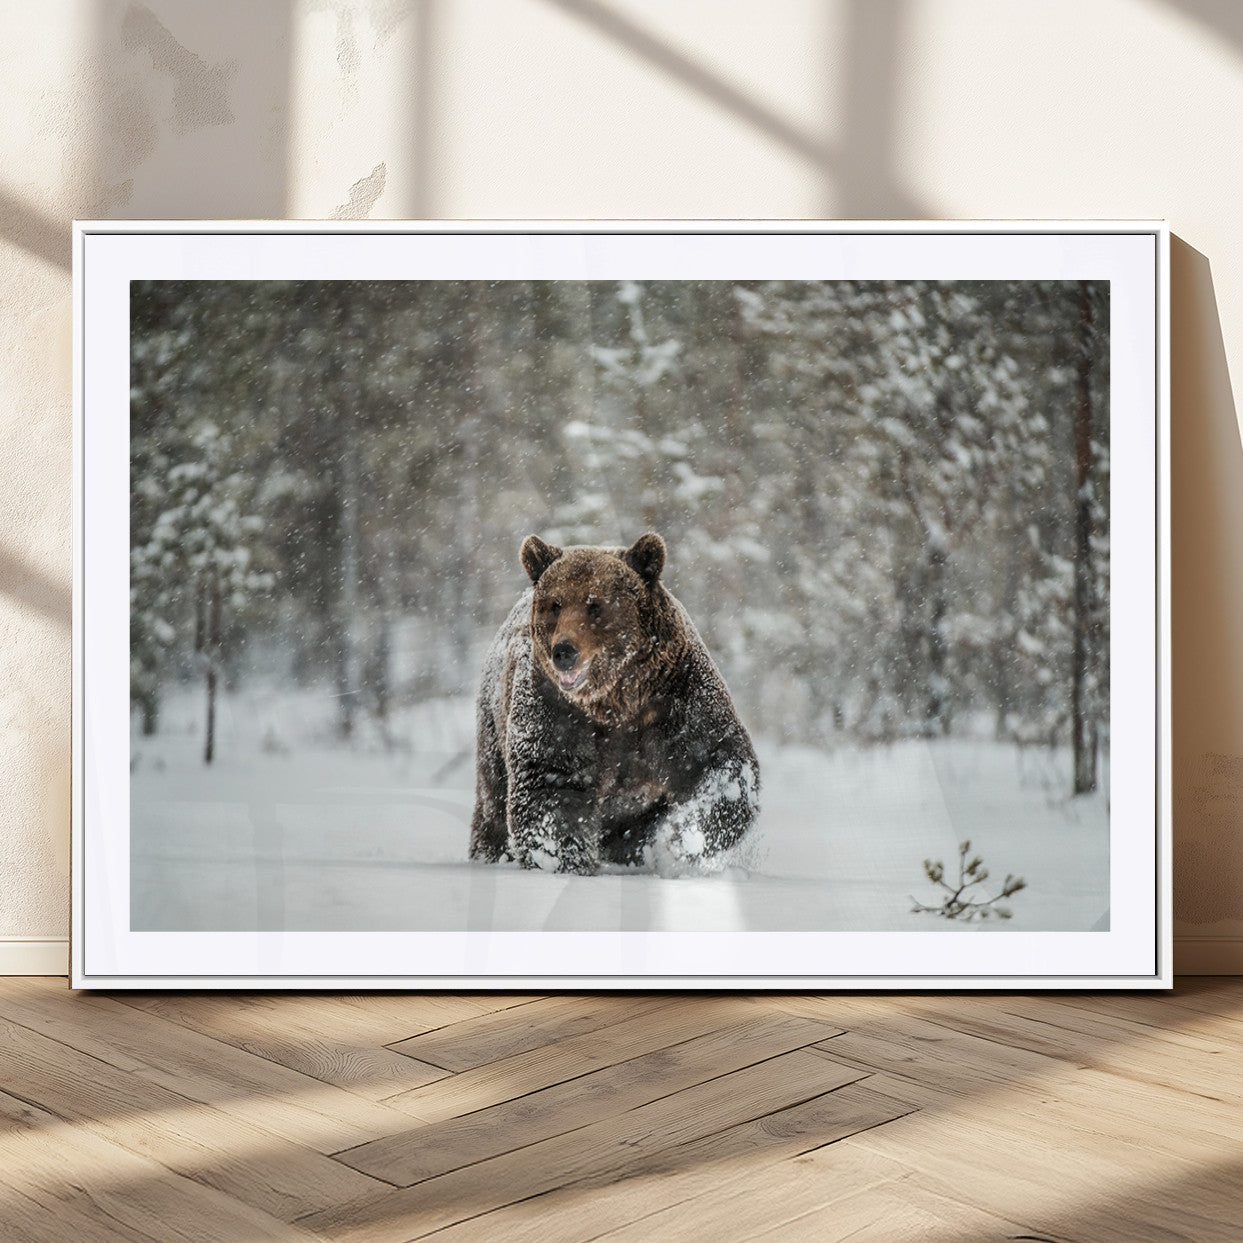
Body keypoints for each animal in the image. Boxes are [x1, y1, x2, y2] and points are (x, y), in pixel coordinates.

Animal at [469, 532, 759, 875]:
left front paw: (683, 837)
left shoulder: (676, 697)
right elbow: (550, 784)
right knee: (493, 803)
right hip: (493, 726)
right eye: (555, 604)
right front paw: (565, 862)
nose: (564, 651)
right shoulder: (555, 708)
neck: (617, 698)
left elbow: (717, 761)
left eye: (595, 604)